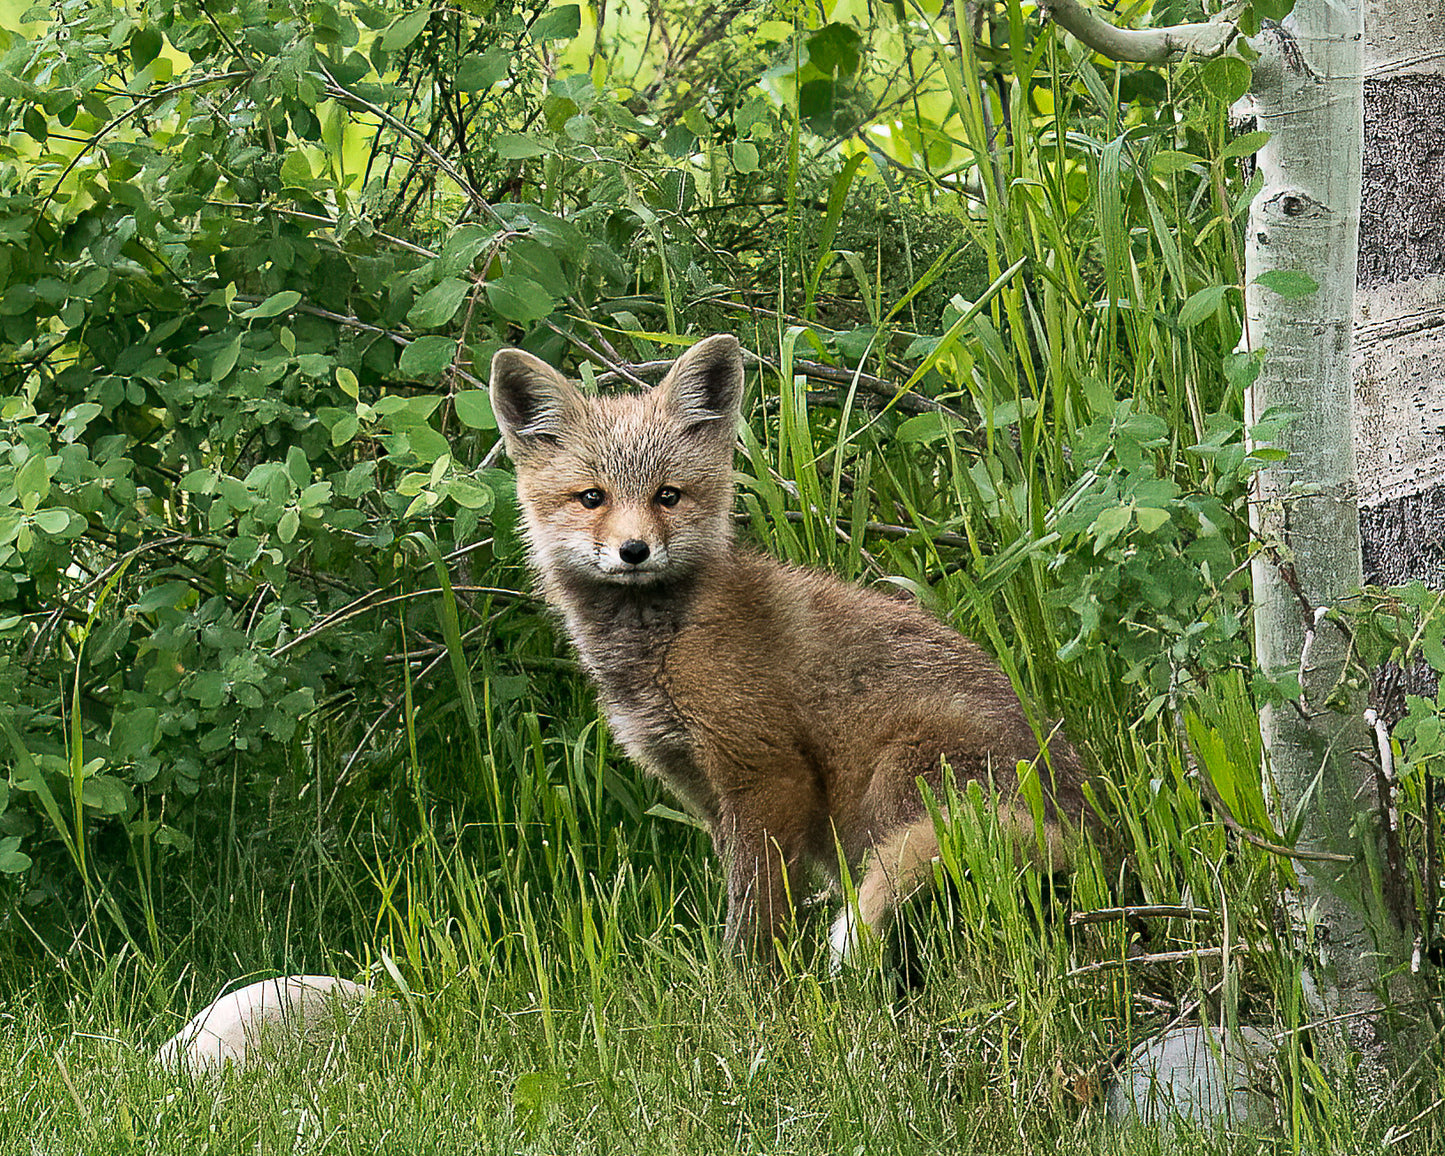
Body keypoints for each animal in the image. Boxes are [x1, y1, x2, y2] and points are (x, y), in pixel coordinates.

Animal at [488, 333, 1095, 964]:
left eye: (668, 496)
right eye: (592, 498)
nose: (635, 550)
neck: (666, 645)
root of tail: (1103, 848)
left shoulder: (768, 772)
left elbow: (755, 912)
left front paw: (752, 981)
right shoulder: (703, 788)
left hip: (896, 778)